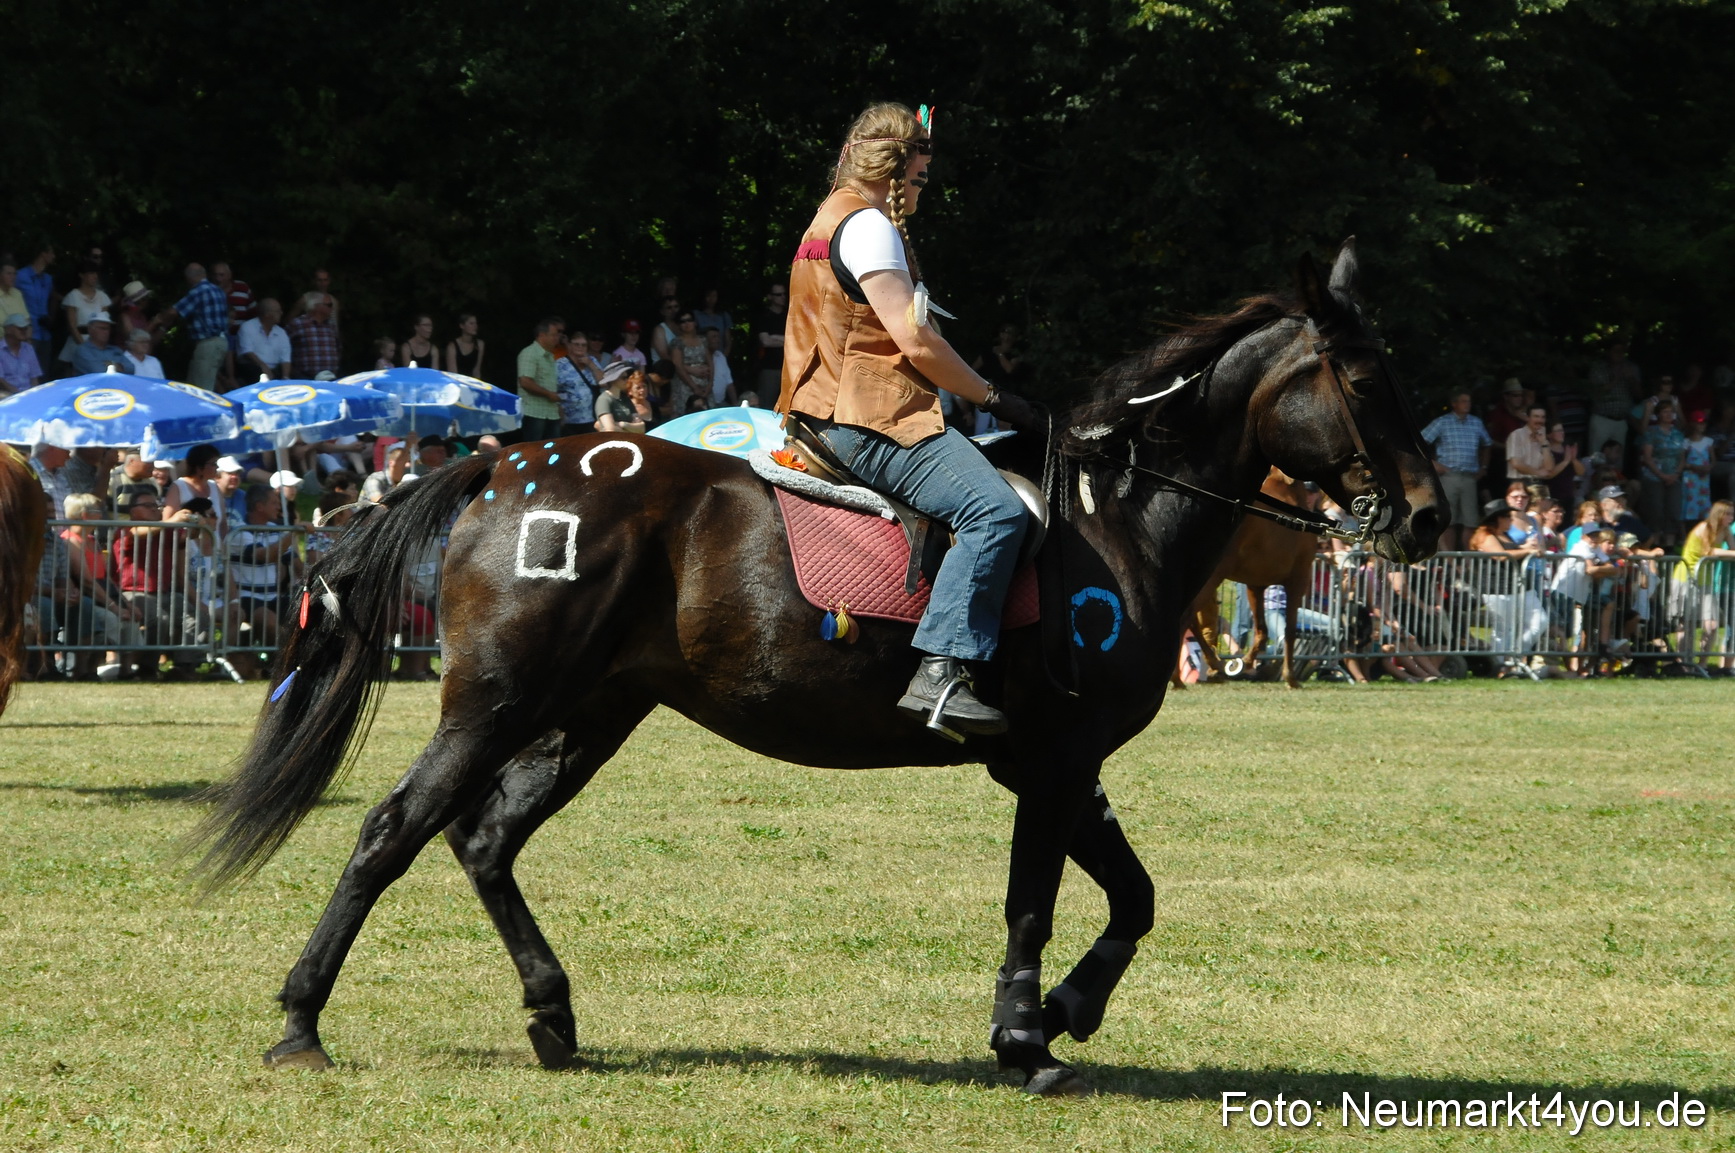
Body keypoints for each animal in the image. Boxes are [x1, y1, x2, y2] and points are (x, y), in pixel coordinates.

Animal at [1179, 468, 1319, 688]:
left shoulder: (1255, 585)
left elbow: (1262, 631)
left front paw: (1246, 662)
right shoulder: (1298, 579)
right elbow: (1289, 631)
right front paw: (1290, 677)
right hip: (1212, 578)